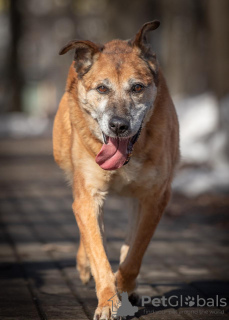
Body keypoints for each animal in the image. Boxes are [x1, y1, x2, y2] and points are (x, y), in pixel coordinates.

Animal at [52, 20, 180, 320]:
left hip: (137, 198)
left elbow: (134, 254)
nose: (119, 125)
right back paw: (85, 264)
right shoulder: (89, 196)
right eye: (101, 89)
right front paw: (108, 299)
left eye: (137, 87)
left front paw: (122, 287)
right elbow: (98, 251)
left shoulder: (155, 198)